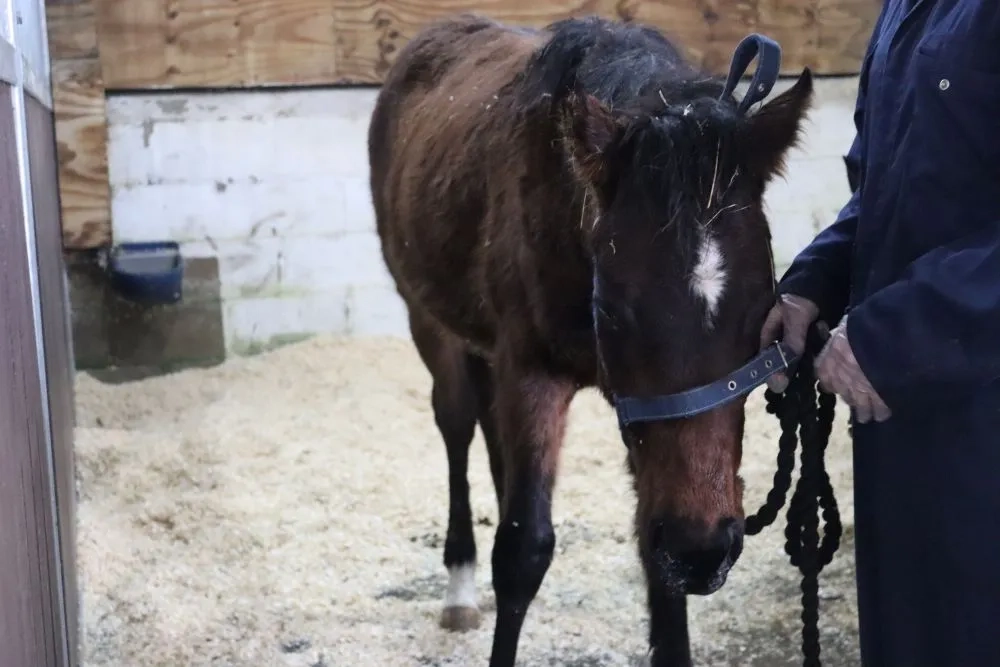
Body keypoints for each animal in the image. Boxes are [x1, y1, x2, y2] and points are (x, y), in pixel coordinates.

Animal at [367, 13, 813, 666]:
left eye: (764, 309)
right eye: (612, 309)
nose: (702, 552)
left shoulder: (639, 414)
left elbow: (649, 552)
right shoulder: (531, 370)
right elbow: (522, 551)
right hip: (427, 319)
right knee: (457, 423)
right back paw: (460, 587)